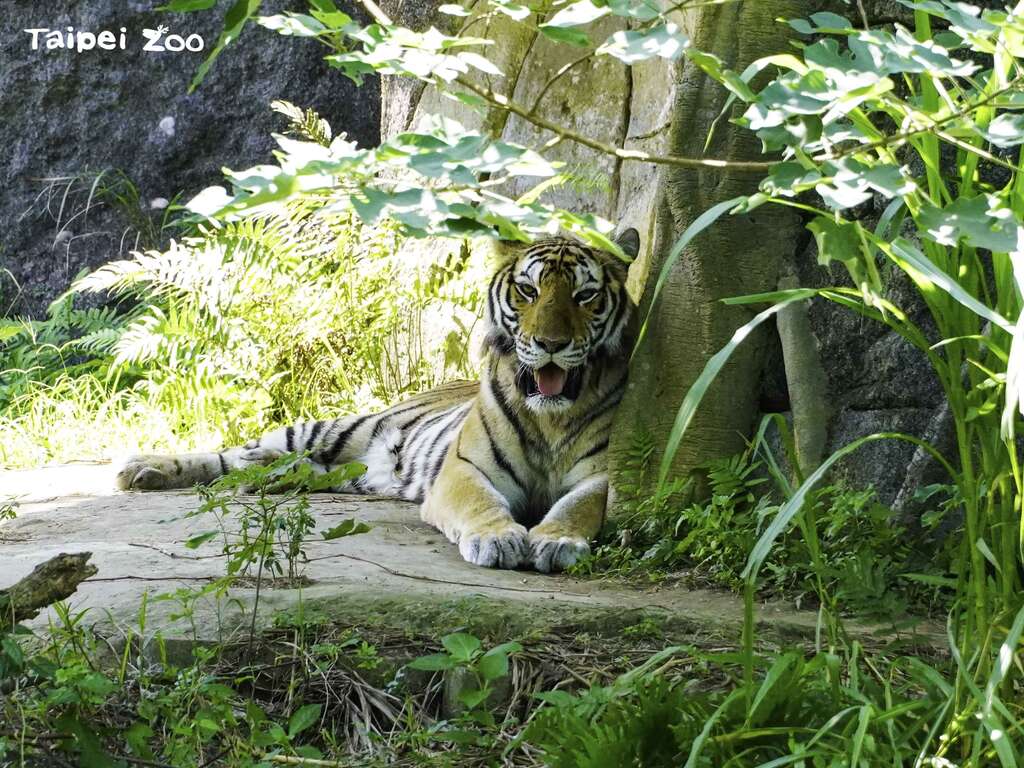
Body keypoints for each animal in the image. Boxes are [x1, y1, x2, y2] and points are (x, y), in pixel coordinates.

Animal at [116, 229, 640, 572]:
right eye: (528, 290)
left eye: (585, 295)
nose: (550, 343)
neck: (551, 417)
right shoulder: (465, 468)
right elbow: (479, 503)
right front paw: (497, 538)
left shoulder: (601, 475)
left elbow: (578, 507)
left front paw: (555, 541)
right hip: (330, 428)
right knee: (233, 454)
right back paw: (144, 469)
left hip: (342, 467)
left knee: (280, 468)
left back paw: (267, 478)